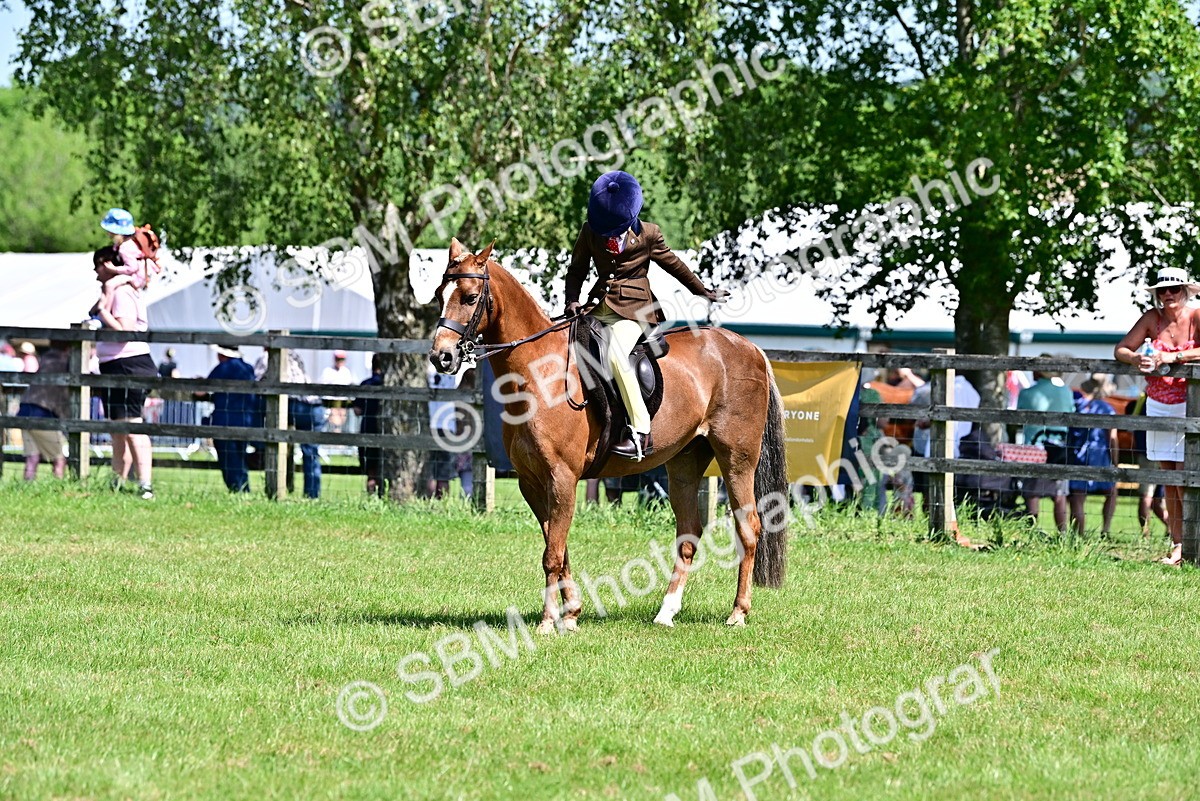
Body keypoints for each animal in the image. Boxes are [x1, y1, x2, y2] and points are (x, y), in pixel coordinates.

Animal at [429, 239, 789, 632]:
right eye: (439, 295)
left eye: (470, 297)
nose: (441, 357)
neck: (538, 371)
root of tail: (750, 348)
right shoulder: (531, 482)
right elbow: (559, 549)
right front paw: (571, 613)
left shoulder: (562, 478)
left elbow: (552, 555)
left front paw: (548, 622)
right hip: (684, 463)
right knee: (689, 534)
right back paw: (666, 612)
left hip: (737, 460)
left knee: (749, 528)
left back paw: (738, 612)